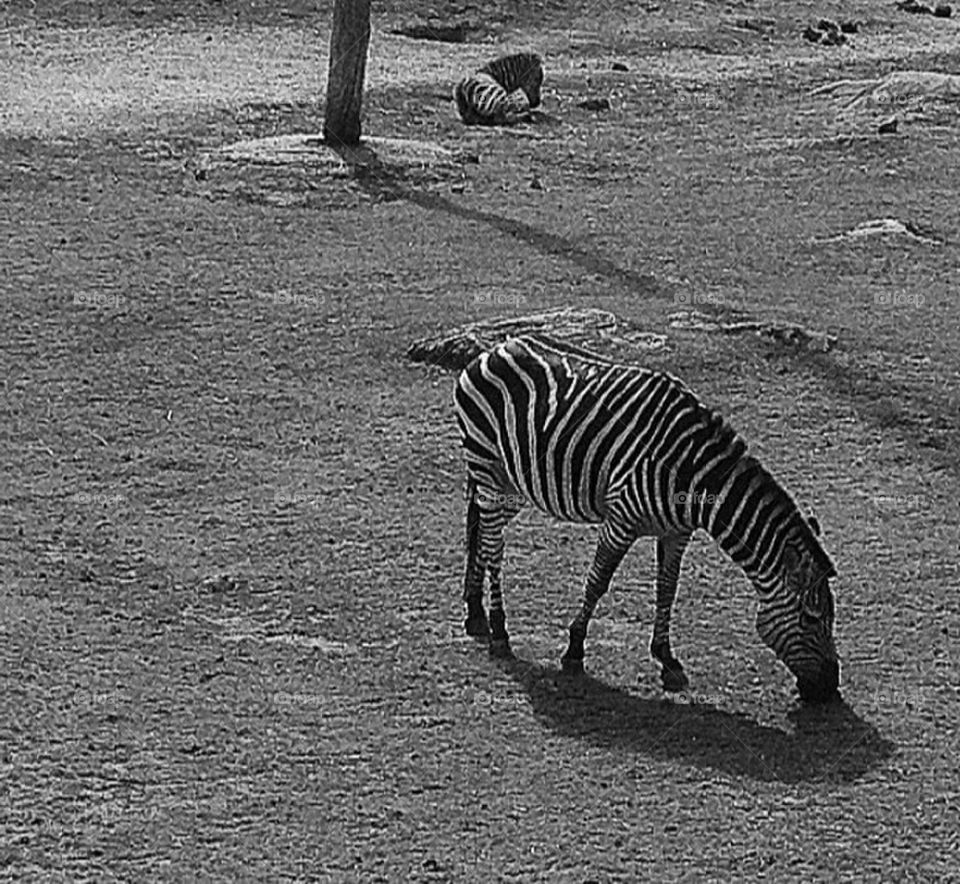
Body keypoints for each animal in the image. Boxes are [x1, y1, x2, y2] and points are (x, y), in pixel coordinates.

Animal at [454, 333, 840, 703]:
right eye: (811, 618)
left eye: (830, 617)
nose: (830, 690)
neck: (691, 473)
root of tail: (495, 347)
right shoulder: (620, 521)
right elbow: (598, 581)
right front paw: (575, 649)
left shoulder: (677, 533)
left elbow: (667, 588)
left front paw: (667, 658)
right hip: (488, 465)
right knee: (493, 544)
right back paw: (499, 630)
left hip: (514, 482)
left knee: (481, 528)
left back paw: (476, 613)